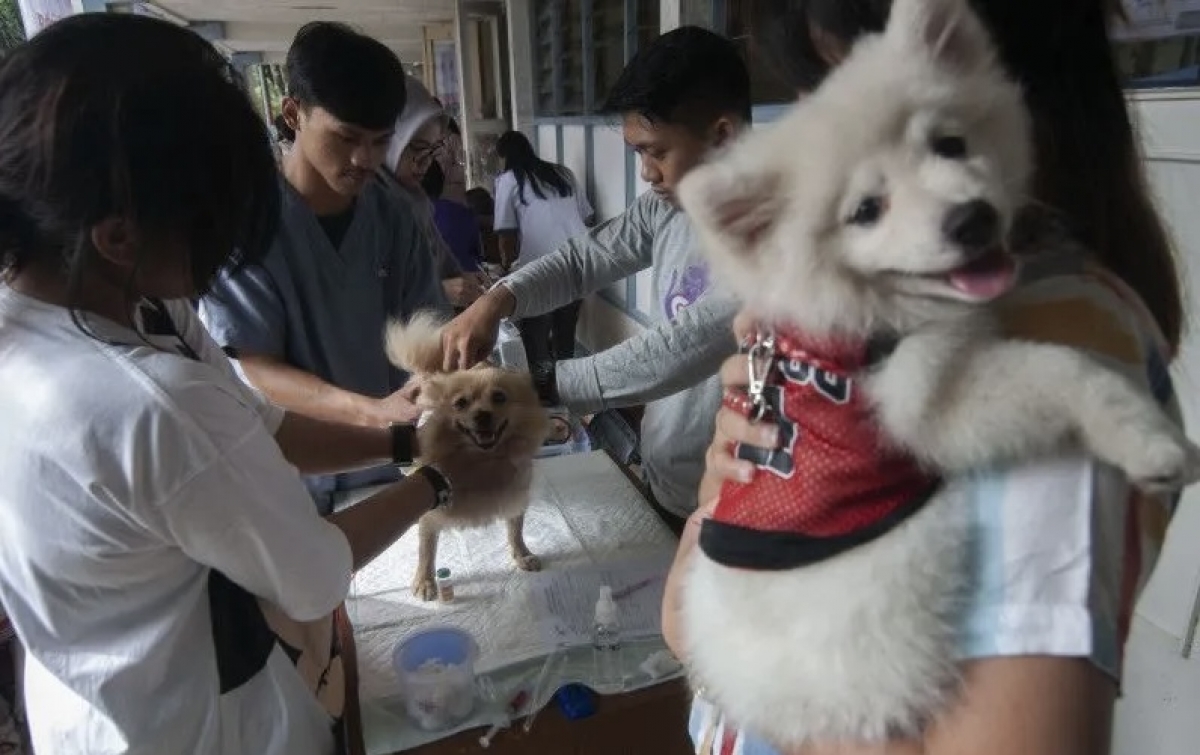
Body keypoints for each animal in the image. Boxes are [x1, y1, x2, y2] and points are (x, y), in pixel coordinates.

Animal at [384, 309, 552, 600]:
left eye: (499, 398)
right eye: (460, 403)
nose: (482, 415)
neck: (482, 459)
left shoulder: (515, 495)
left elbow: (515, 530)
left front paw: (522, 555)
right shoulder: (431, 511)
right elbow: (426, 549)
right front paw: (425, 581)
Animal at [676, 0, 1200, 744]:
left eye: (950, 145)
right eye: (866, 211)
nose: (971, 218)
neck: (881, 312)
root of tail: (749, 692)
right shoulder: (926, 402)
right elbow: (1063, 368)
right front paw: (1151, 442)